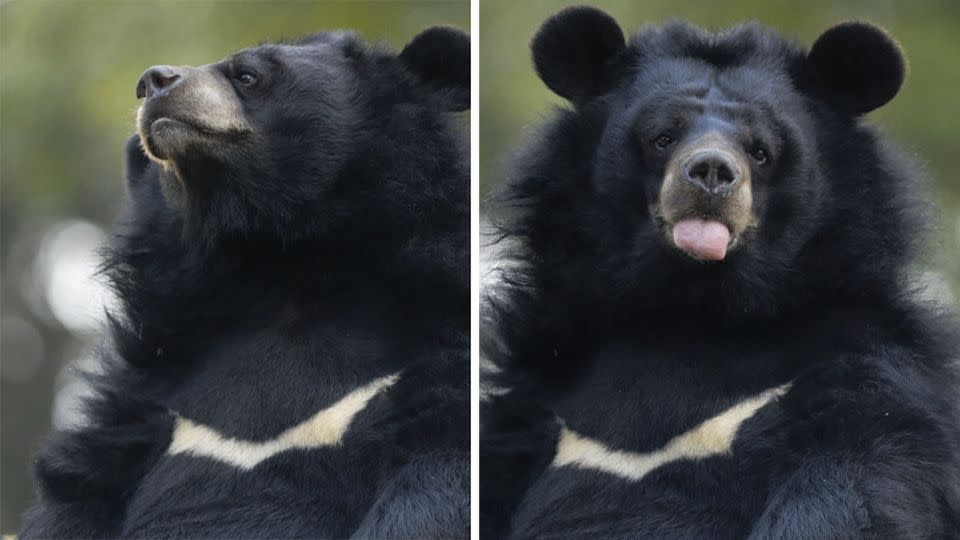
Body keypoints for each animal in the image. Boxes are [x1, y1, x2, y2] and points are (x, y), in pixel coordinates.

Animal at [20, 26, 470, 540]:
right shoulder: (141, 397)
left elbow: (436, 482)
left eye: (247, 75)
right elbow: (75, 496)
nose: (151, 82)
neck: (279, 270)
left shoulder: (436, 352)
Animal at [484, 6, 960, 536]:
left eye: (761, 150)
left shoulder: (867, 371)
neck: (697, 310)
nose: (711, 171)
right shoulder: (533, 400)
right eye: (662, 137)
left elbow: (853, 482)